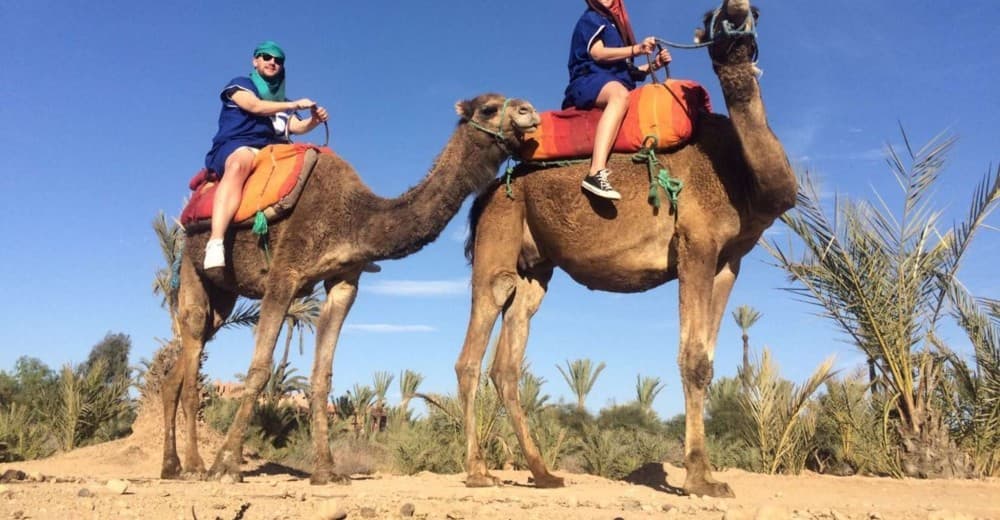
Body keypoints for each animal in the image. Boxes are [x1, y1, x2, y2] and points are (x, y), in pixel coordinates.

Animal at [161, 94, 540, 484]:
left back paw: (171, 465)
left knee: (178, 369)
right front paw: (225, 466)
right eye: (489, 108)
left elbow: (322, 376)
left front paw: (326, 470)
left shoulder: (344, 280)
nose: (528, 111)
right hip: (192, 266)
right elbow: (260, 369)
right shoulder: (285, 274)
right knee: (192, 349)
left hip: (223, 296)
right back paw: (195, 466)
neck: (354, 218)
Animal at [455, 0, 794, 498]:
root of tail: (487, 194)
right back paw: (478, 471)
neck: (738, 173)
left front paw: (708, 475)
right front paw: (699, 478)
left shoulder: (730, 259)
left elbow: (709, 361)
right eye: (711, 15)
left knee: (508, 361)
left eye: (756, 12)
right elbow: (693, 359)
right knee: (476, 343)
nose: (737, 11)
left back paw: (543, 473)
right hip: (498, 237)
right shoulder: (695, 243)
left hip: (535, 266)